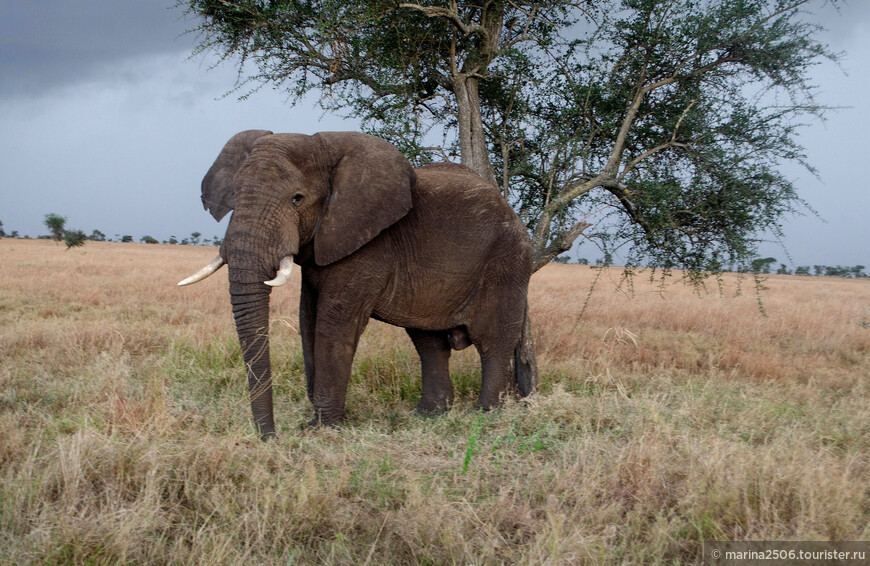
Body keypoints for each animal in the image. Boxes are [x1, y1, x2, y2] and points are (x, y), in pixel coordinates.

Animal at [179, 131, 540, 442]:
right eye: (235, 196)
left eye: (297, 199)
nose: (270, 438)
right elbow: (308, 320)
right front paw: (317, 420)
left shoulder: (368, 244)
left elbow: (334, 324)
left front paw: (320, 429)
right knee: (429, 343)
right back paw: (427, 415)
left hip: (507, 263)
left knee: (492, 342)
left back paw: (486, 415)